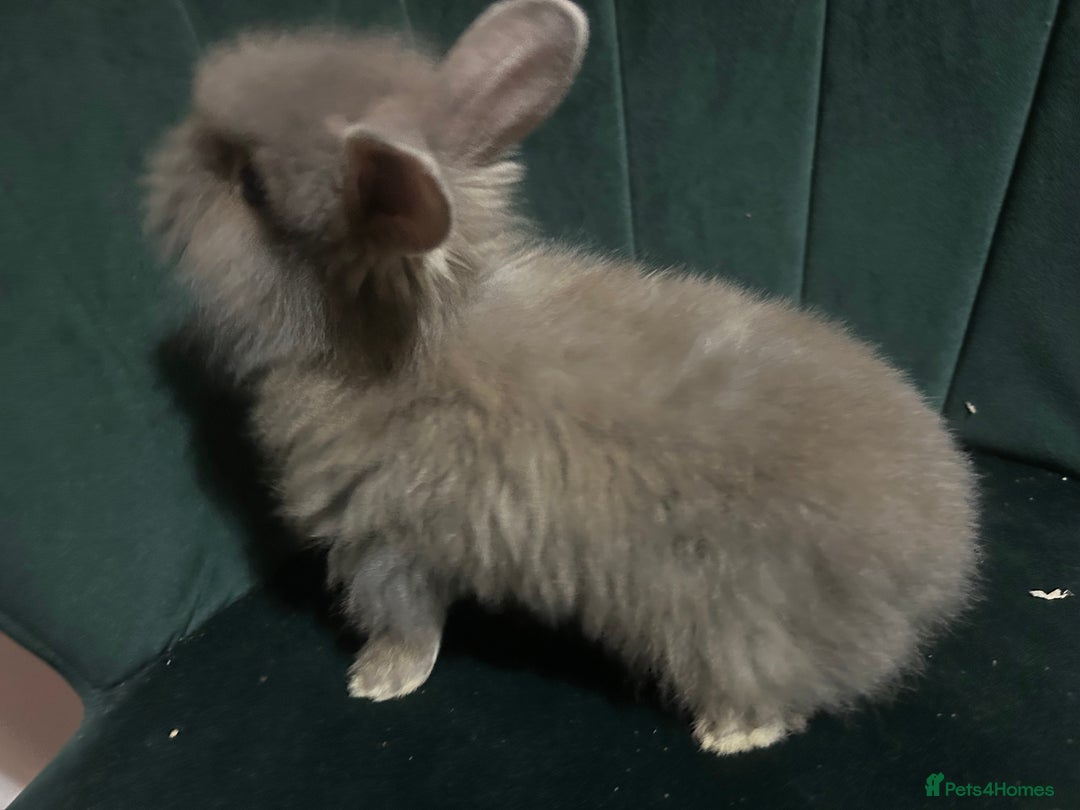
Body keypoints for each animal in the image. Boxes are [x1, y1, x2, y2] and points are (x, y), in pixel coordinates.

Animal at [144, 0, 979, 755]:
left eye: (251, 185)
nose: (165, 163)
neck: (387, 345)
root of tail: (944, 562)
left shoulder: (386, 545)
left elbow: (407, 623)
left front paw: (378, 681)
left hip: (737, 626)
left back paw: (730, 735)